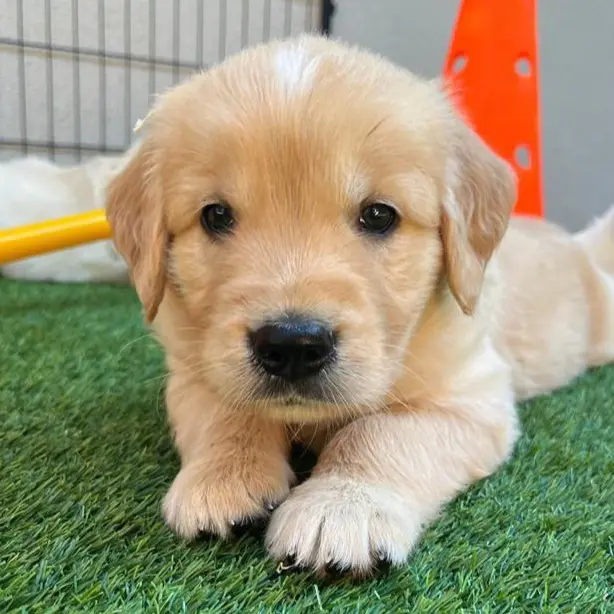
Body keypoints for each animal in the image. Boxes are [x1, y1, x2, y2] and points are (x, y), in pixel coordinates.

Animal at [106, 35, 614, 576]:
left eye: (379, 215)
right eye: (215, 215)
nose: (292, 345)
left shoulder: (471, 398)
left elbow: (379, 432)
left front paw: (342, 506)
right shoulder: (191, 369)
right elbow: (227, 409)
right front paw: (223, 478)